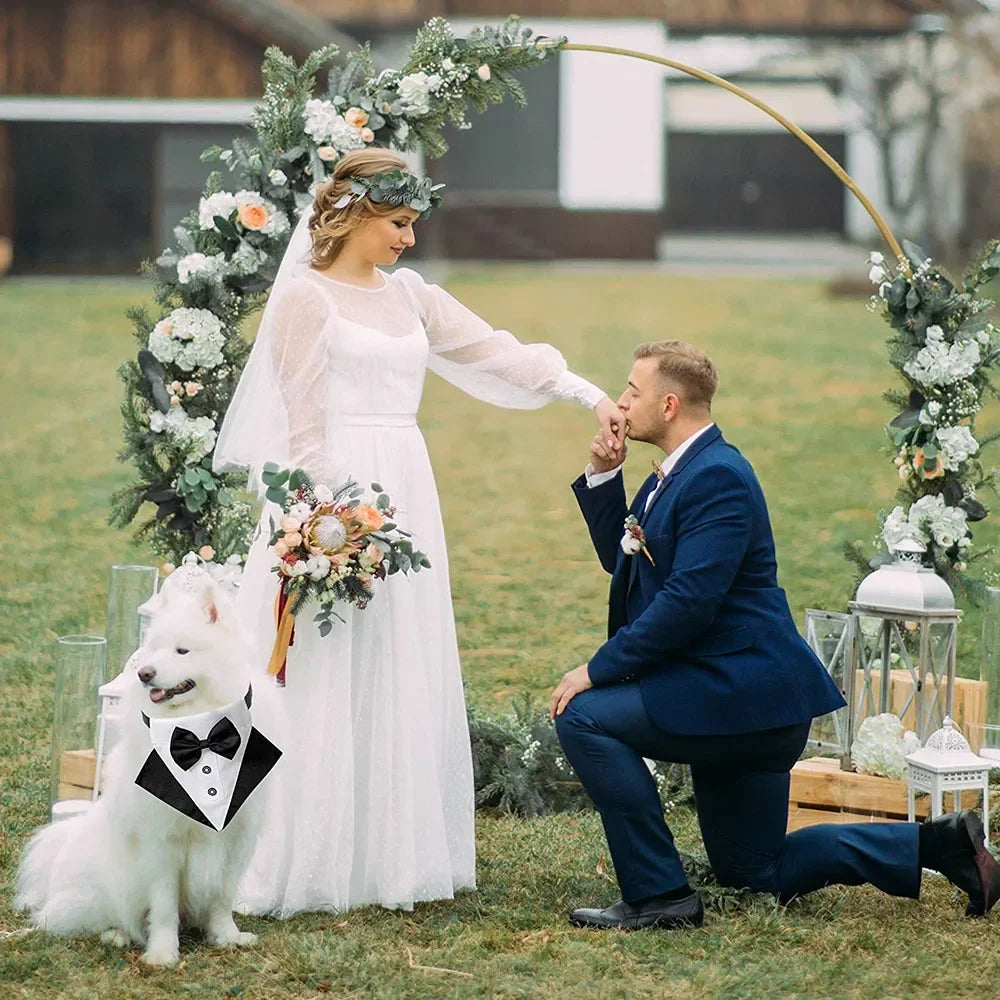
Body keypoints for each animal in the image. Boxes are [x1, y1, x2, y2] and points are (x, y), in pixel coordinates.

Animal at [15, 576, 280, 964]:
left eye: (182, 651)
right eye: (152, 652)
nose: (144, 674)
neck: (200, 732)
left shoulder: (236, 836)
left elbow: (221, 896)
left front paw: (227, 937)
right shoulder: (162, 842)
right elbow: (164, 906)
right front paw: (162, 954)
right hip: (113, 882)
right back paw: (118, 935)